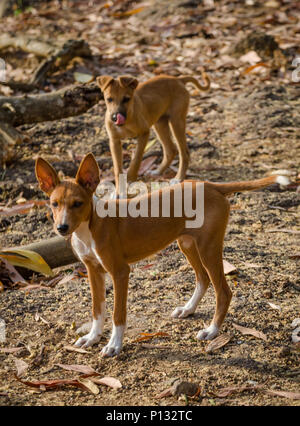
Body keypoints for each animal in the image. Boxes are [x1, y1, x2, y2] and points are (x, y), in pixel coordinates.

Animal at [35, 153, 290, 356]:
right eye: (54, 204)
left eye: (78, 204)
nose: (62, 228)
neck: (90, 227)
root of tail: (211, 185)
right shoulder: (93, 271)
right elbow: (97, 310)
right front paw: (92, 337)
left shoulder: (120, 272)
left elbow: (118, 314)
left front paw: (114, 345)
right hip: (187, 244)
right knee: (203, 279)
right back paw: (188, 309)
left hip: (208, 247)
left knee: (224, 292)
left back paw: (211, 330)